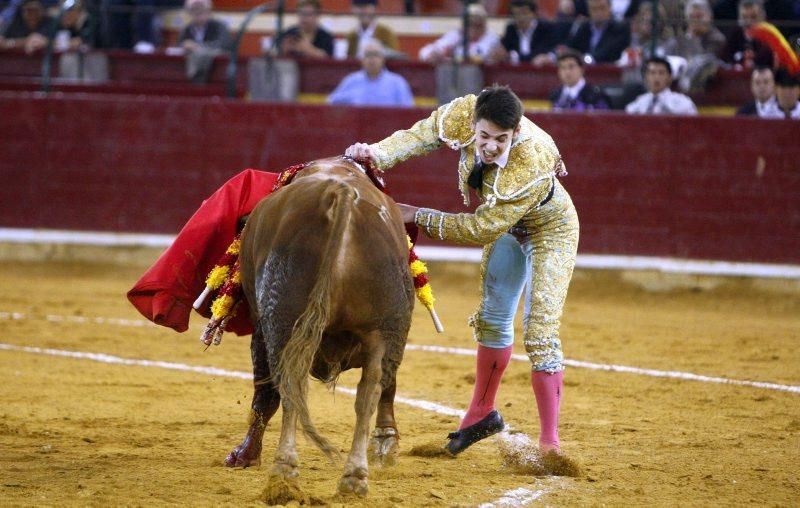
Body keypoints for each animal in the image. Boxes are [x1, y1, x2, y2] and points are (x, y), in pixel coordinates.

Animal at [225, 156, 412, 500]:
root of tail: (341, 193)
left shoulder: (261, 326)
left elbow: (265, 393)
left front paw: (245, 455)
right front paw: (386, 444)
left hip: (282, 317)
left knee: (289, 387)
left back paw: (284, 471)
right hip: (385, 325)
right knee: (371, 390)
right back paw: (355, 476)